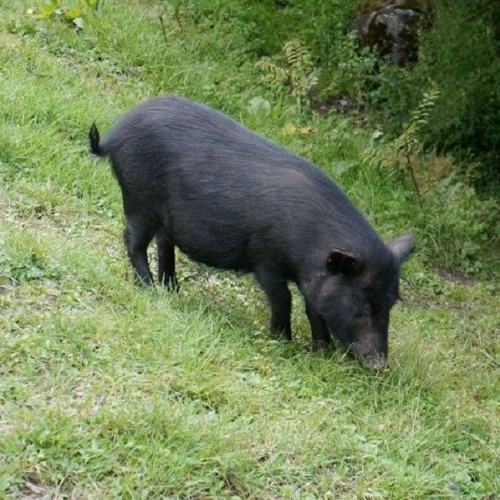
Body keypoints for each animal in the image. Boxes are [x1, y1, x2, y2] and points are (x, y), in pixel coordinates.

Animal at [89, 96, 414, 368]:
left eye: (390, 305)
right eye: (360, 307)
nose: (379, 365)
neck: (308, 250)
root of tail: (114, 135)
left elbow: (314, 309)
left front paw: (322, 351)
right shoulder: (266, 260)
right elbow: (284, 299)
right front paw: (282, 341)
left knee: (163, 244)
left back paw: (173, 290)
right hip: (139, 199)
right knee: (132, 240)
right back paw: (148, 288)